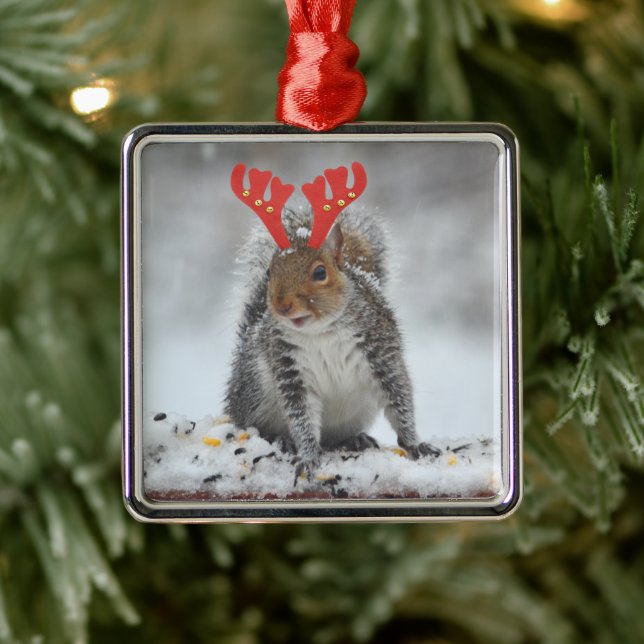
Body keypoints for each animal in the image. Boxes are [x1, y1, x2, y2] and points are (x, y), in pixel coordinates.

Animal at [224, 163, 440, 480]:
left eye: (320, 273)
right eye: (270, 272)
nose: (281, 305)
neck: (321, 332)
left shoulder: (381, 352)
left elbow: (400, 398)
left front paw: (415, 443)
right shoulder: (289, 368)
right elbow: (301, 417)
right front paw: (308, 456)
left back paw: (354, 439)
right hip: (255, 391)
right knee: (254, 424)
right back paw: (279, 438)